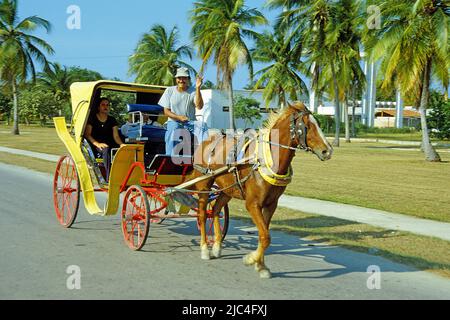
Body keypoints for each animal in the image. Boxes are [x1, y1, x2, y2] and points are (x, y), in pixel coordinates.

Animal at [189, 100, 330, 278]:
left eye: (317, 122)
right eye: (306, 126)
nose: (327, 150)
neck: (264, 161)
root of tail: (208, 140)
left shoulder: (271, 204)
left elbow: (264, 236)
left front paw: (261, 265)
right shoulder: (252, 204)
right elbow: (266, 236)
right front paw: (251, 260)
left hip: (227, 189)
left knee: (214, 211)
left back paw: (216, 246)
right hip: (204, 185)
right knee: (202, 215)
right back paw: (204, 249)